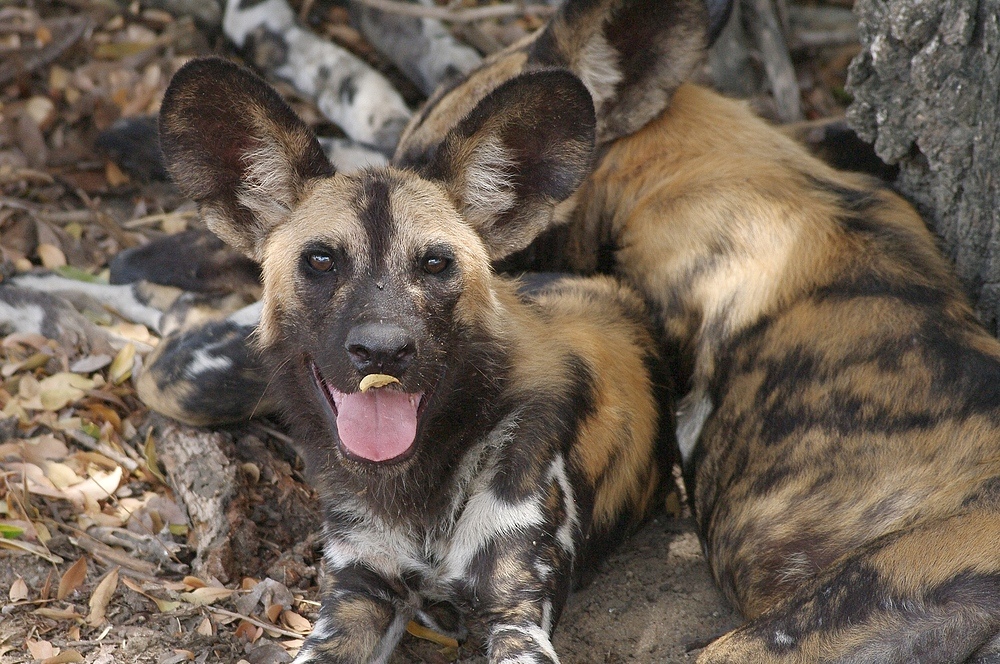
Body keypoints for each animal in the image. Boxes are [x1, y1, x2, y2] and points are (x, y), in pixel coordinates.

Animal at [158, 58, 672, 664]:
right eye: (321, 260)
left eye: (434, 263)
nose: (382, 349)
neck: (418, 495)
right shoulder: (357, 596)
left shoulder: (518, 615)